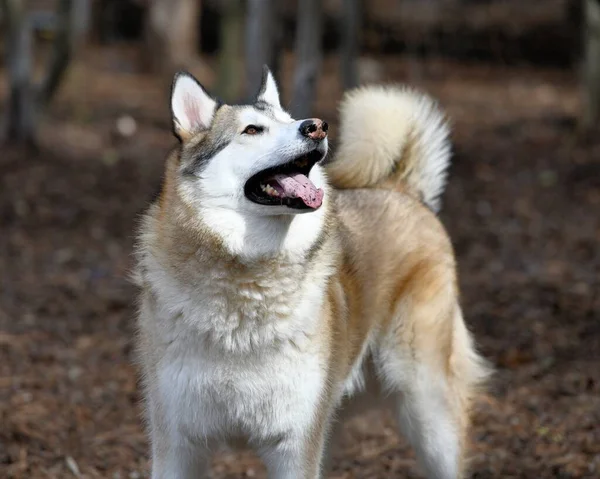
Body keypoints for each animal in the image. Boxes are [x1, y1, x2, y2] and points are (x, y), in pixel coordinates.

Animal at [135, 65, 488, 478]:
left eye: (289, 120)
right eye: (251, 130)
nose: (317, 127)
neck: (248, 286)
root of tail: (402, 189)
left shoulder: (294, 445)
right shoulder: (177, 444)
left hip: (428, 413)